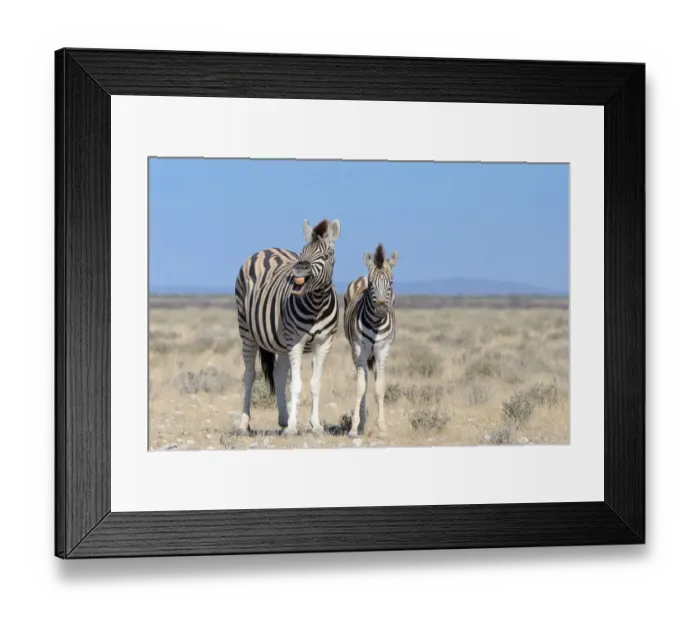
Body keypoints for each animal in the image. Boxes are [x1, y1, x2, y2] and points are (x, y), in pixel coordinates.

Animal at [234, 218, 341, 436]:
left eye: (326, 255)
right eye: (302, 252)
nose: (299, 269)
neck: (317, 304)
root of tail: (266, 249)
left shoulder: (324, 343)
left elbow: (315, 384)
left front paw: (315, 425)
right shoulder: (296, 342)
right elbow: (296, 384)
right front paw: (292, 427)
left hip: (281, 342)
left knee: (278, 375)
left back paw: (282, 420)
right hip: (247, 332)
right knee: (249, 375)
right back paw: (243, 424)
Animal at [343, 243, 399, 438]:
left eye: (391, 283)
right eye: (372, 284)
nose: (381, 310)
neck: (375, 323)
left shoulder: (383, 350)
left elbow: (380, 387)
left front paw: (382, 427)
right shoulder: (359, 349)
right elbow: (360, 386)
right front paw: (354, 427)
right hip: (357, 353)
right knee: (364, 380)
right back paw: (361, 424)